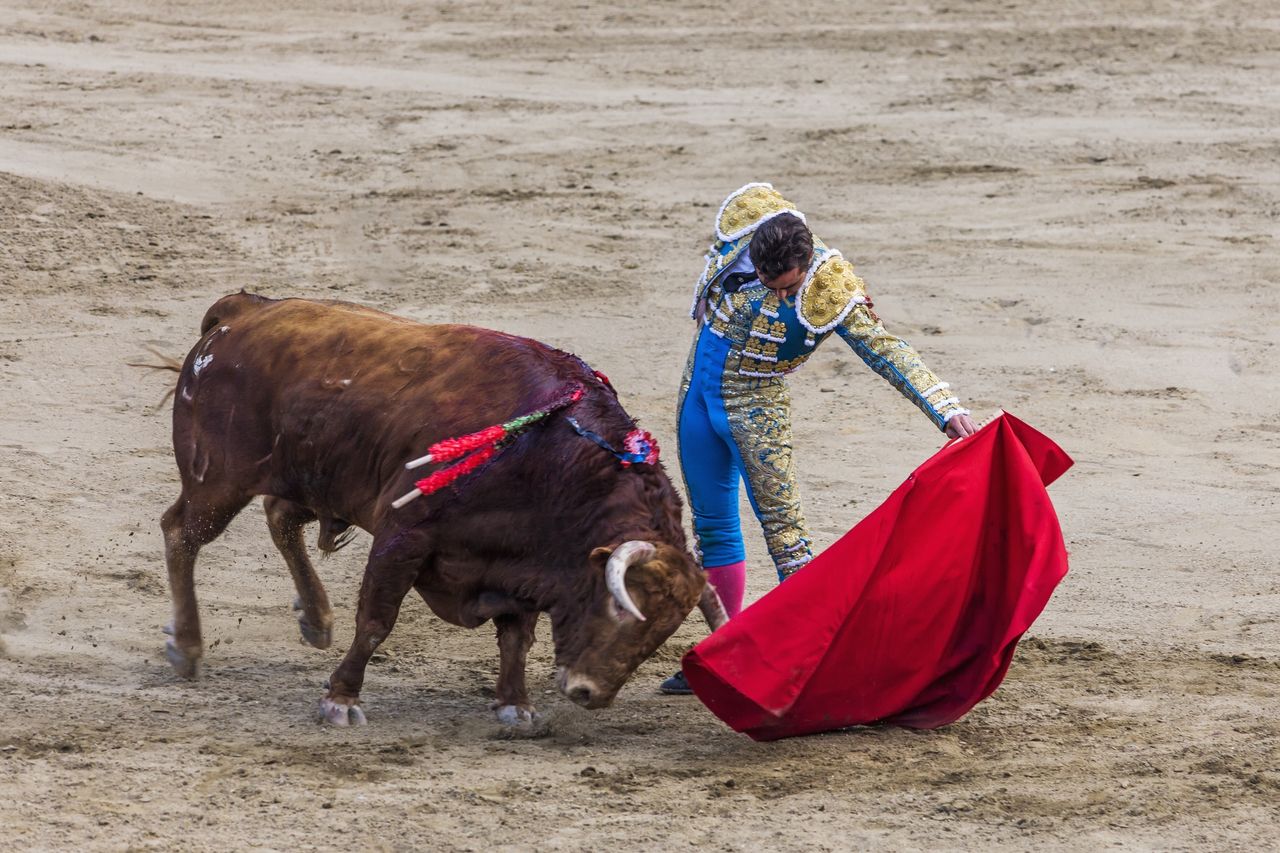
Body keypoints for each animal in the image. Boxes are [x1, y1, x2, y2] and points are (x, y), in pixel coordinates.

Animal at [154, 294, 727, 722]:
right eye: (617, 606)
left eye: (663, 632)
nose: (589, 694)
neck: (550, 462)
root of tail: (244, 311)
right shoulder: (402, 536)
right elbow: (376, 622)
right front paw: (340, 699)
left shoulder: (521, 561)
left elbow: (516, 637)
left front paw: (515, 707)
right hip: (219, 481)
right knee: (181, 532)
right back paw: (188, 647)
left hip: (311, 477)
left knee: (279, 517)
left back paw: (315, 620)